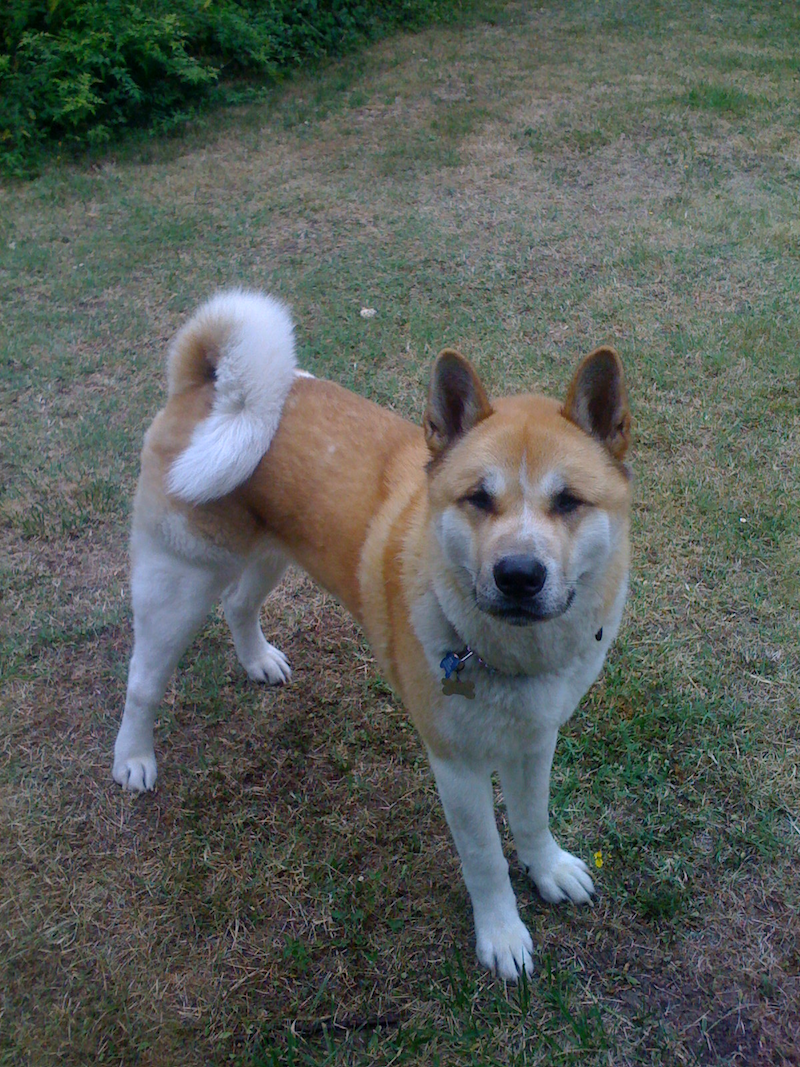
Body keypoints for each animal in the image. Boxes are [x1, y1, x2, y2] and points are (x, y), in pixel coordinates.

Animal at [114, 290, 631, 977]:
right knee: (143, 680)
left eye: (569, 501)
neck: (507, 651)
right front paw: (501, 935)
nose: (519, 575)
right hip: (176, 584)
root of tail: (206, 387)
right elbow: (485, 859)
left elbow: (531, 818)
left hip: (273, 553)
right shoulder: (456, 764)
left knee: (238, 604)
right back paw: (133, 758)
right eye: (478, 499)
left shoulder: (534, 737)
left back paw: (258, 661)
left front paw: (547, 871)